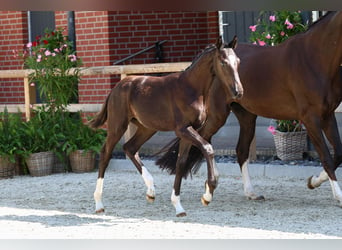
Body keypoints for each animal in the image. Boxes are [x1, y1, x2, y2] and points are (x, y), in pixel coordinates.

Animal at [88, 36, 243, 216]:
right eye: (223, 62)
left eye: (238, 61)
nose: (238, 91)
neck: (191, 89)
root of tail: (116, 88)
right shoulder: (183, 129)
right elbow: (208, 148)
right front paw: (208, 193)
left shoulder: (189, 131)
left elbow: (181, 163)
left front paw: (178, 206)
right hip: (117, 126)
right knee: (106, 153)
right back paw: (99, 204)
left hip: (147, 128)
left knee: (130, 148)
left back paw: (150, 191)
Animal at [157, 11, 342, 207]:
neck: (313, 58)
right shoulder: (310, 118)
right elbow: (326, 157)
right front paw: (338, 195)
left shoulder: (327, 115)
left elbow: (338, 154)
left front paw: (313, 181)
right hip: (217, 116)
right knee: (203, 139)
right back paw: (210, 186)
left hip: (246, 116)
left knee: (240, 150)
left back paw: (250, 192)